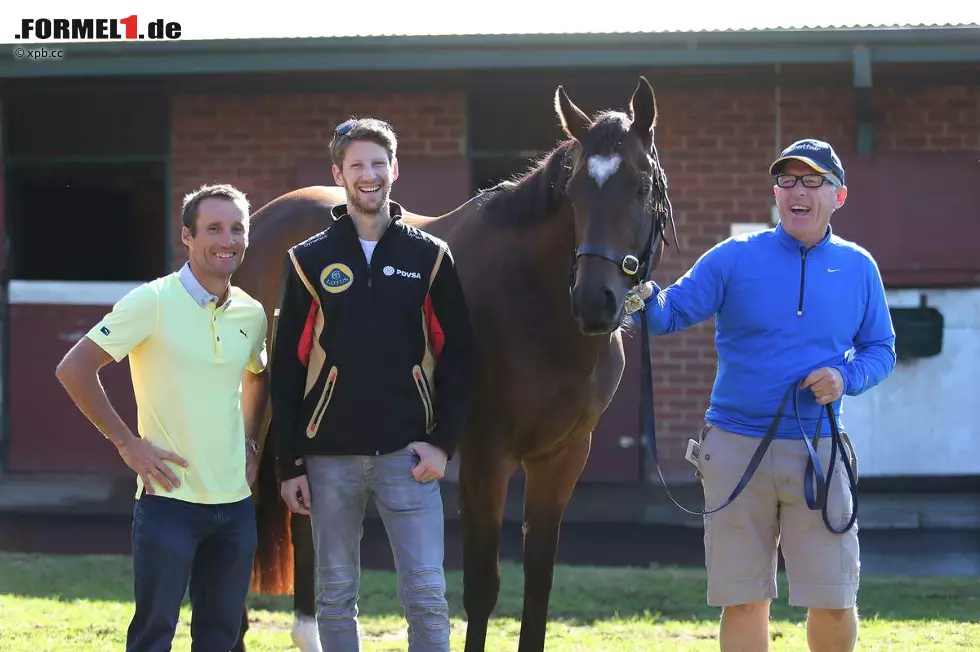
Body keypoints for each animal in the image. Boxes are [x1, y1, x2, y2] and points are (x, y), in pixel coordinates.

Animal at [236, 77, 672, 652]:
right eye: (574, 191)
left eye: (642, 186)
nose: (594, 302)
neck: (533, 302)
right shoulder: (486, 456)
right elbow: (483, 587)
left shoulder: (562, 457)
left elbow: (539, 583)